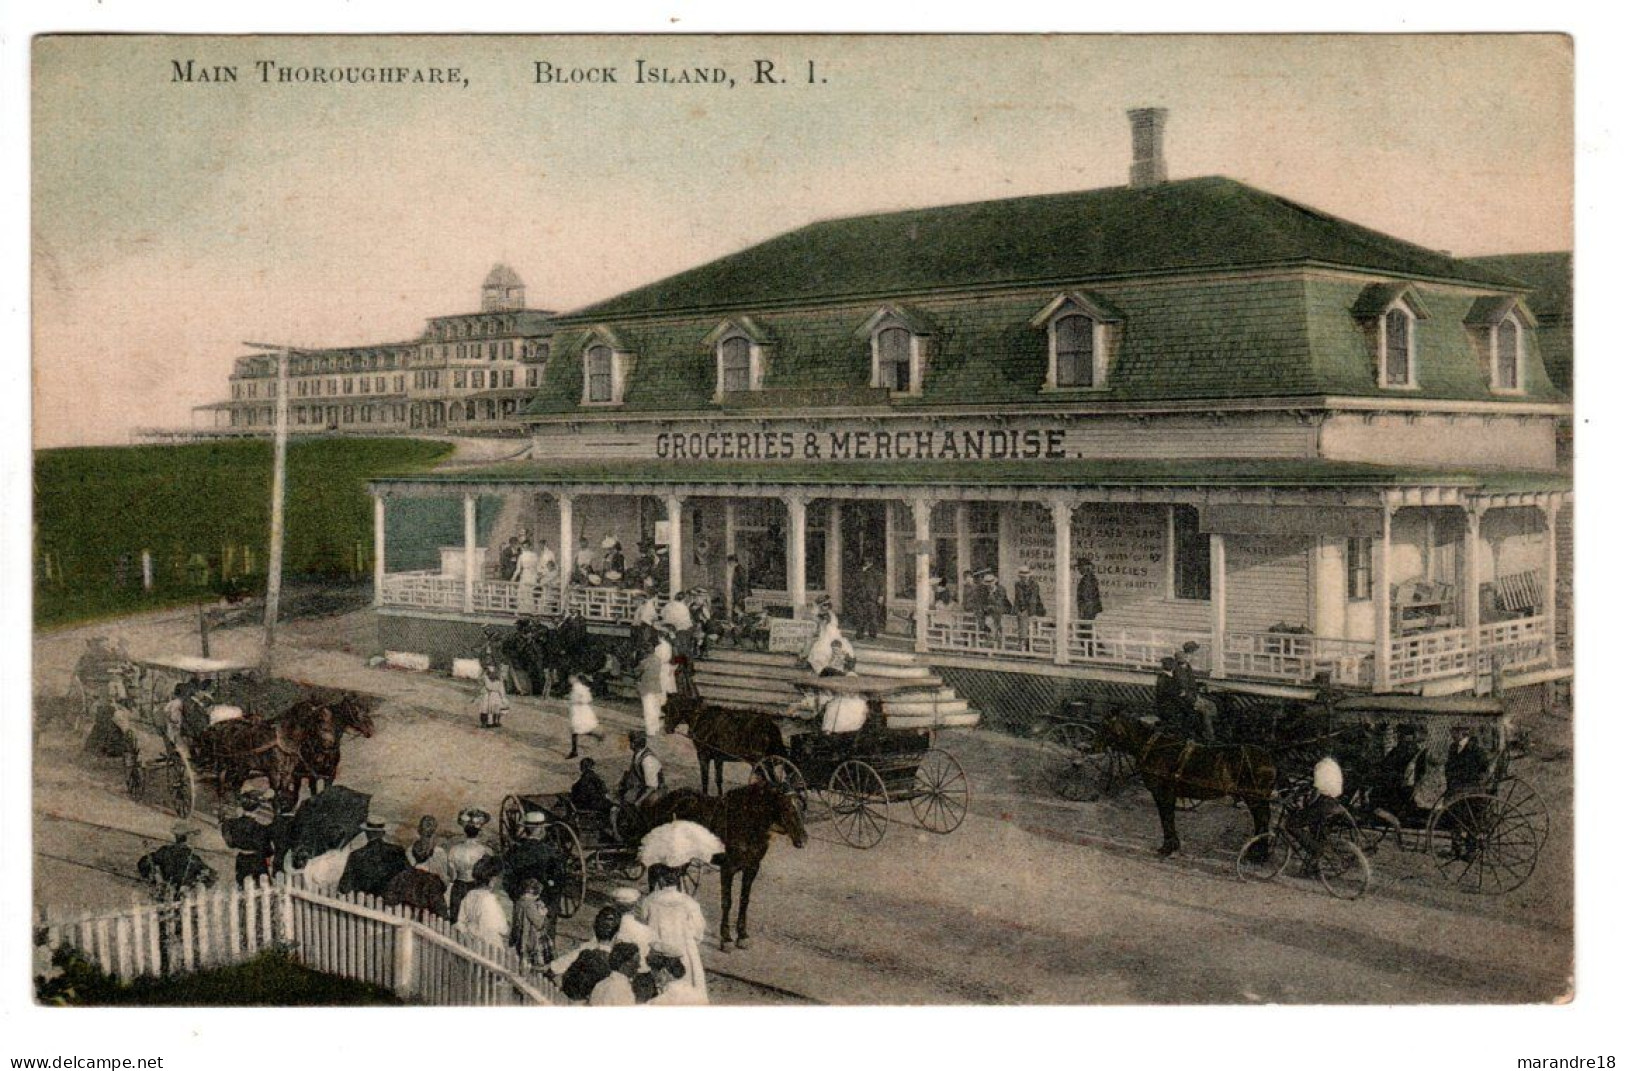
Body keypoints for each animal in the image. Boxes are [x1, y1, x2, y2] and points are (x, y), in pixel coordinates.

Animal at [640, 783, 806, 949]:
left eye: (801, 806)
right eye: (786, 807)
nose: (803, 838)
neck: (746, 821)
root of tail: (660, 801)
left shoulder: (752, 867)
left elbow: (744, 900)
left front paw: (742, 935)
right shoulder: (728, 869)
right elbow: (727, 902)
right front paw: (726, 938)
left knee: (672, 877)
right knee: (654, 875)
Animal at [1098, 708, 1274, 858]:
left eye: (1105, 726)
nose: (1092, 746)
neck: (1154, 748)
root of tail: (1269, 758)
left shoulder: (1163, 793)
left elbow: (1166, 818)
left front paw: (1167, 848)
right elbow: (1168, 818)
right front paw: (1172, 846)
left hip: (1254, 798)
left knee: (1262, 821)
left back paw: (1258, 855)